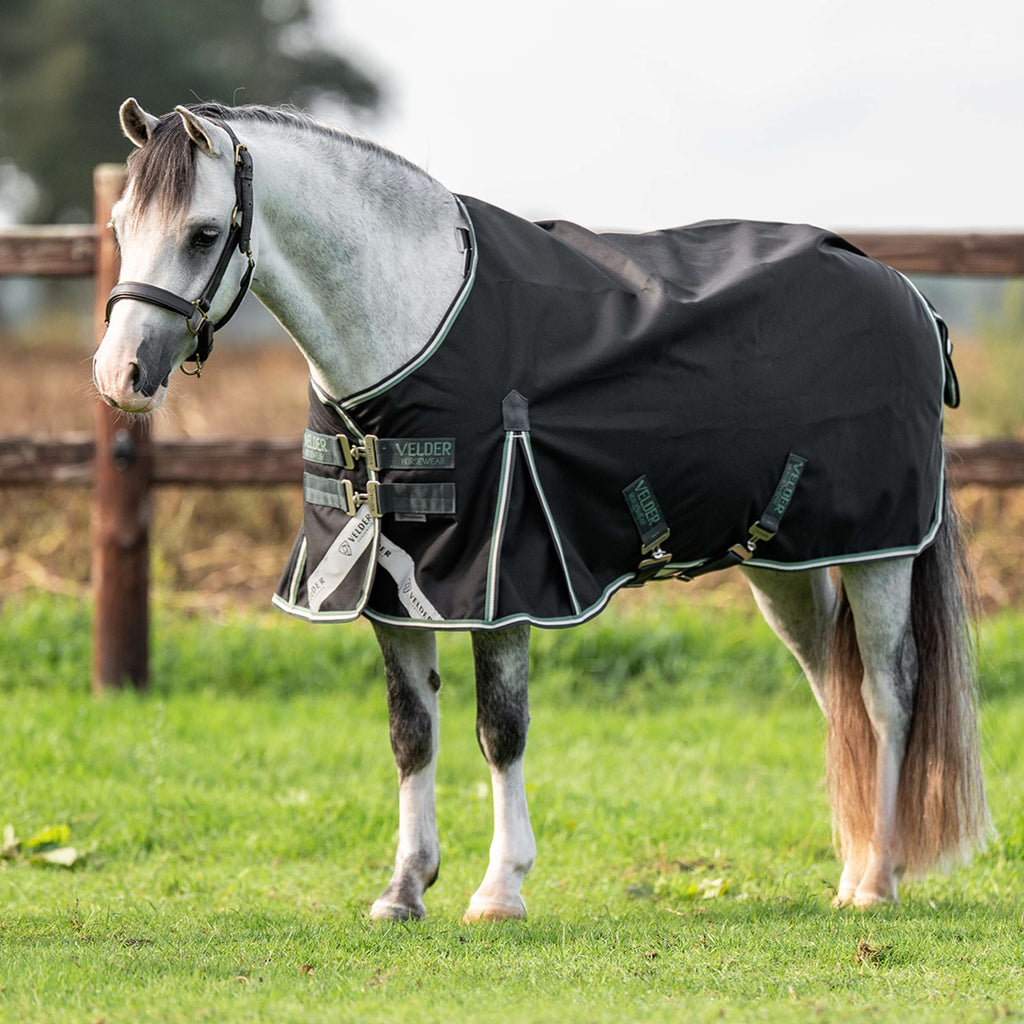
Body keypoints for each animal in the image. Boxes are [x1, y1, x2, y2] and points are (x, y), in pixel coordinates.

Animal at [94, 98, 991, 921]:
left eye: (203, 233)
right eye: (119, 224)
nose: (119, 376)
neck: (411, 325)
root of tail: (911, 296)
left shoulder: (501, 584)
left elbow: (501, 729)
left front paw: (500, 889)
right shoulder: (390, 589)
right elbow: (411, 733)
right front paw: (404, 888)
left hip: (881, 552)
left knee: (886, 691)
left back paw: (876, 883)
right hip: (786, 564)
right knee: (835, 692)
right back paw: (859, 866)